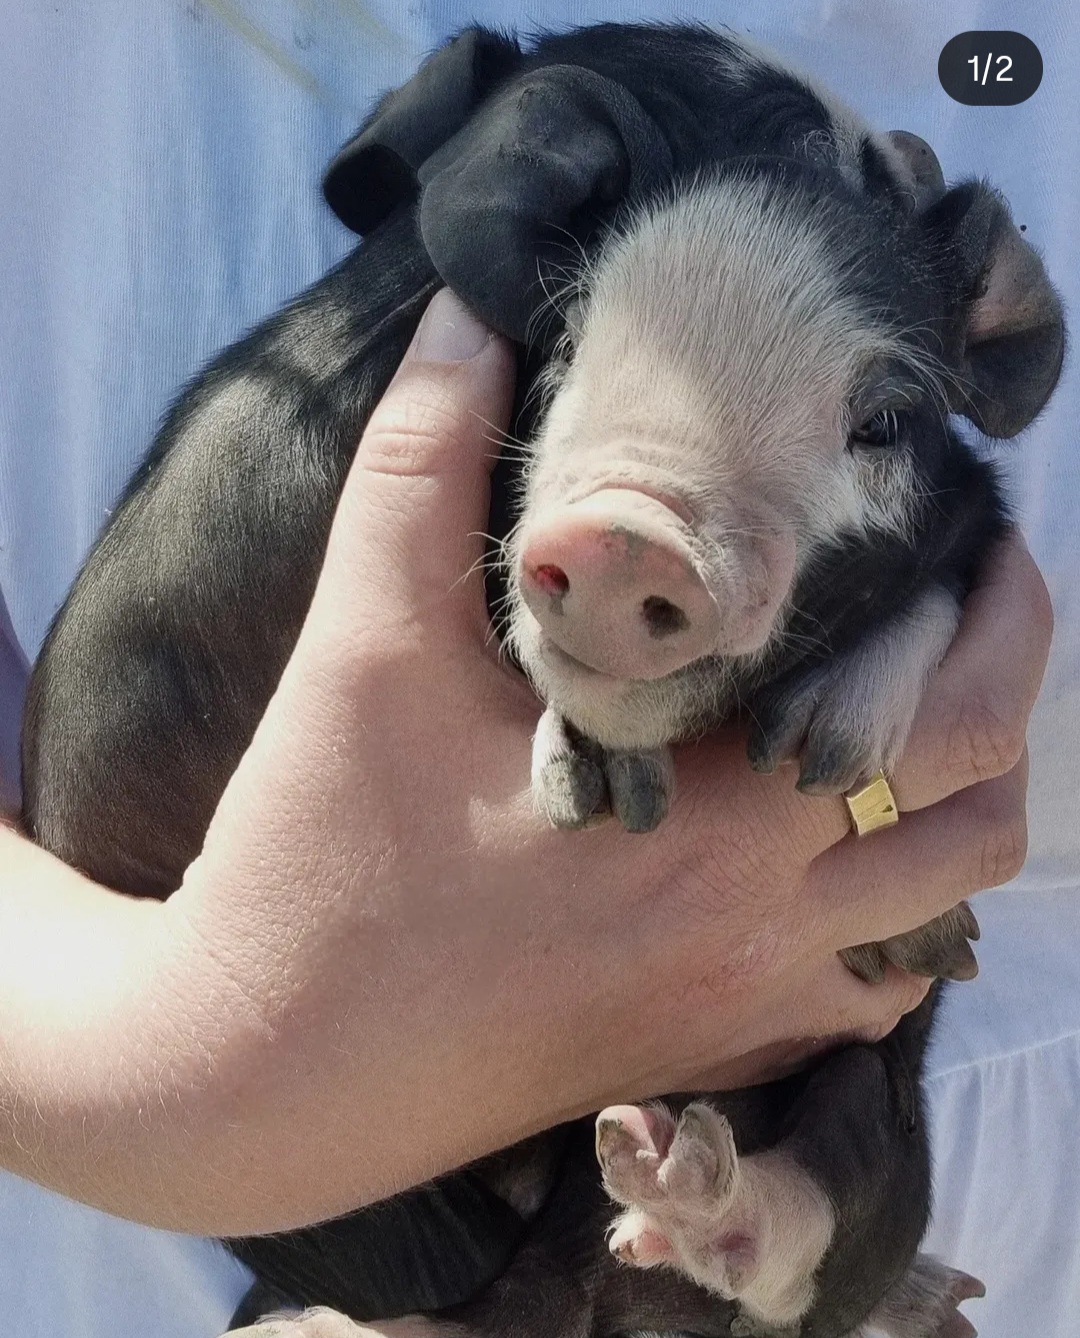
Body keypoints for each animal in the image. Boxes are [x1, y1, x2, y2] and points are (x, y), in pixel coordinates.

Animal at [19, 20, 1064, 1338]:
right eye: (568, 344)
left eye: (881, 417)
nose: (633, 537)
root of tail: (572, 1301)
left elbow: (963, 527)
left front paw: (836, 772)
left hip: (866, 1099)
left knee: (841, 1201)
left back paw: (735, 1204)